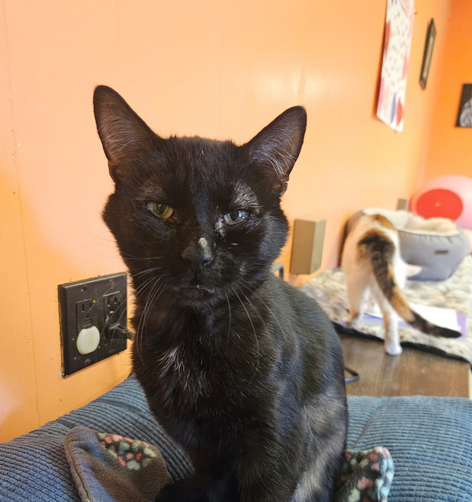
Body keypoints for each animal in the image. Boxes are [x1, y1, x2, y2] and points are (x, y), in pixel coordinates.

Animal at [93, 85, 347, 502]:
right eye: (160, 208)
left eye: (236, 215)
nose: (198, 254)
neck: (193, 334)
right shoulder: (197, 442)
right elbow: (211, 477)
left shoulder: (279, 441)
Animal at [341, 214, 461, 356]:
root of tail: (379, 241)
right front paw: (371, 306)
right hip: (388, 286)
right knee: (390, 317)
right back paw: (393, 349)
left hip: (356, 280)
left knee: (357, 310)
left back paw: (347, 320)